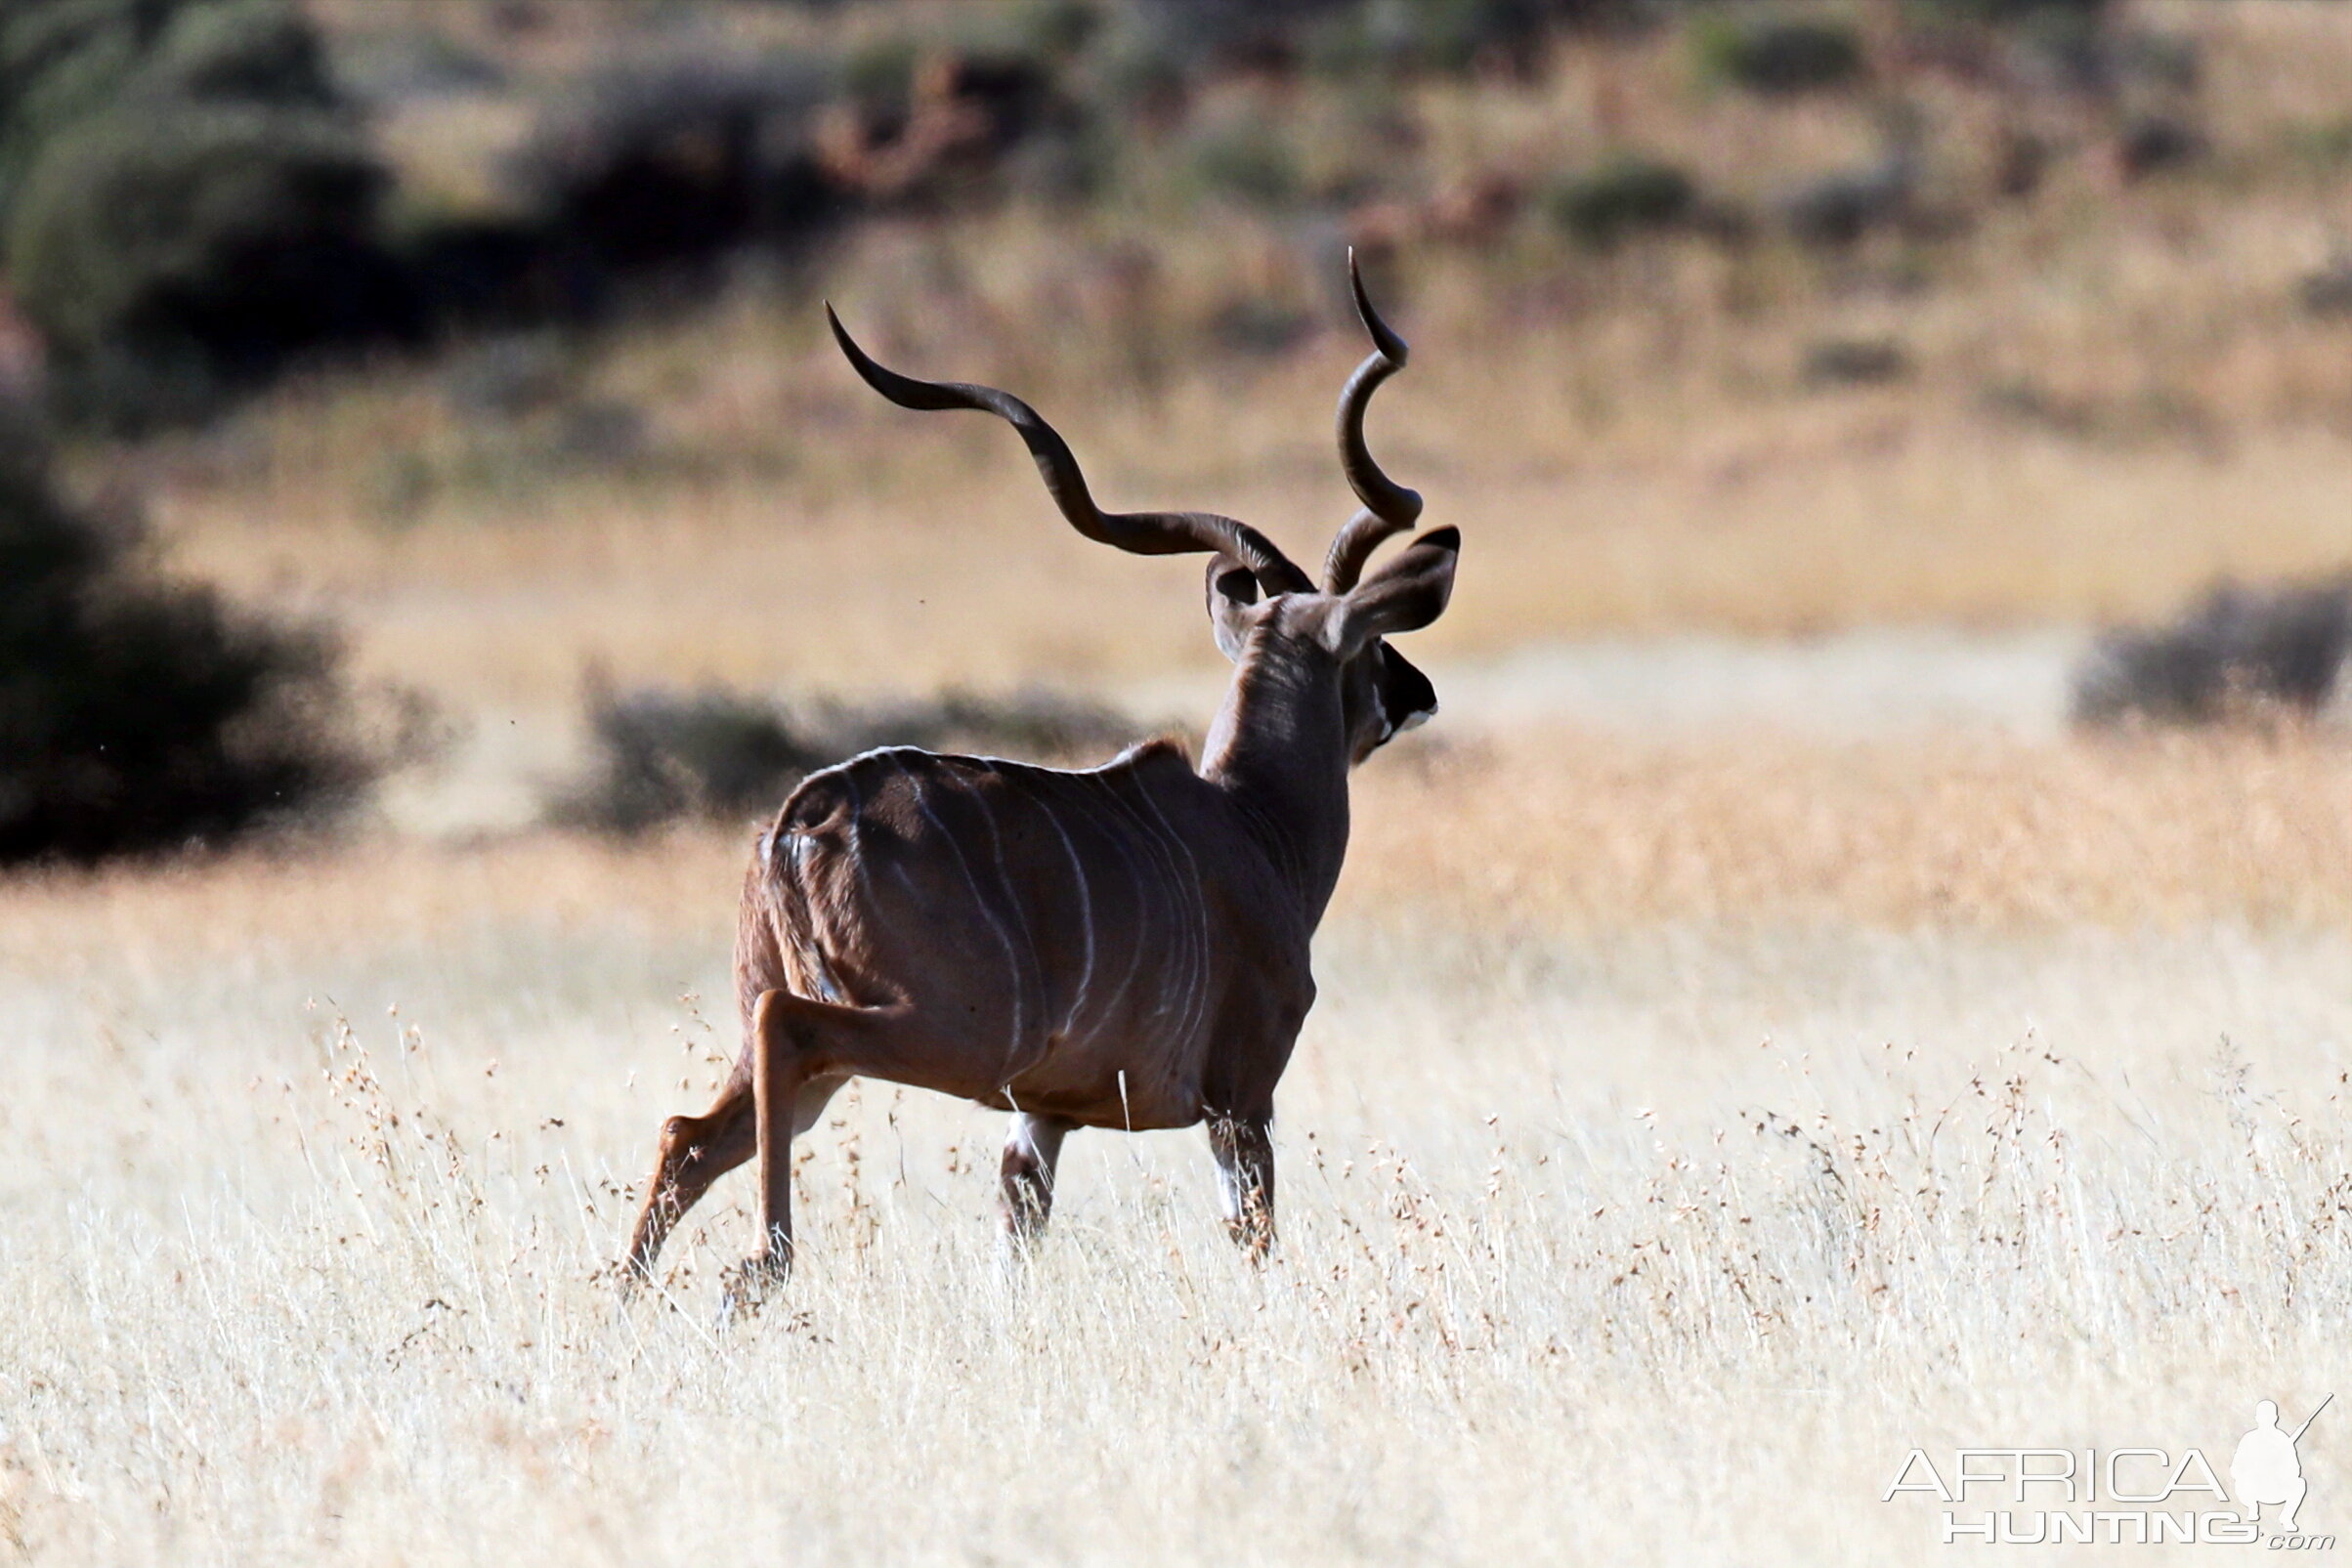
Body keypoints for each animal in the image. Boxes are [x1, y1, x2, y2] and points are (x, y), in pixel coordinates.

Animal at [620, 257, 1467, 1288]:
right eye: (1375, 642)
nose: (1418, 689)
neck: (1249, 825)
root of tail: (802, 816)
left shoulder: (1043, 1114)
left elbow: (1016, 1234)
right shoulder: (1241, 1094)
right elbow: (1254, 1232)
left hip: (832, 1041)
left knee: (686, 1134)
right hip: (940, 1028)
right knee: (784, 1032)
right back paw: (761, 1268)